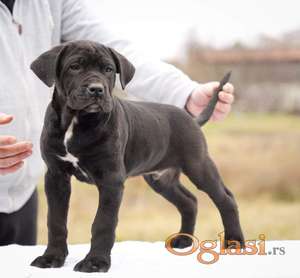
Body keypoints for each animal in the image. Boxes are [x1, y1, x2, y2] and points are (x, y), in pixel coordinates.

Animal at [29, 40, 244, 272]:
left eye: (108, 69)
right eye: (75, 66)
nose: (97, 89)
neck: (75, 121)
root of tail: (191, 118)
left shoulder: (111, 180)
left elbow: (103, 222)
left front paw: (95, 261)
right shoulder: (56, 176)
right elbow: (55, 220)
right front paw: (52, 257)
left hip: (198, 165)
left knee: (225, 199)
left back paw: (234, 241)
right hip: (161, 179)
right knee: (189, 201)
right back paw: (184, 240)